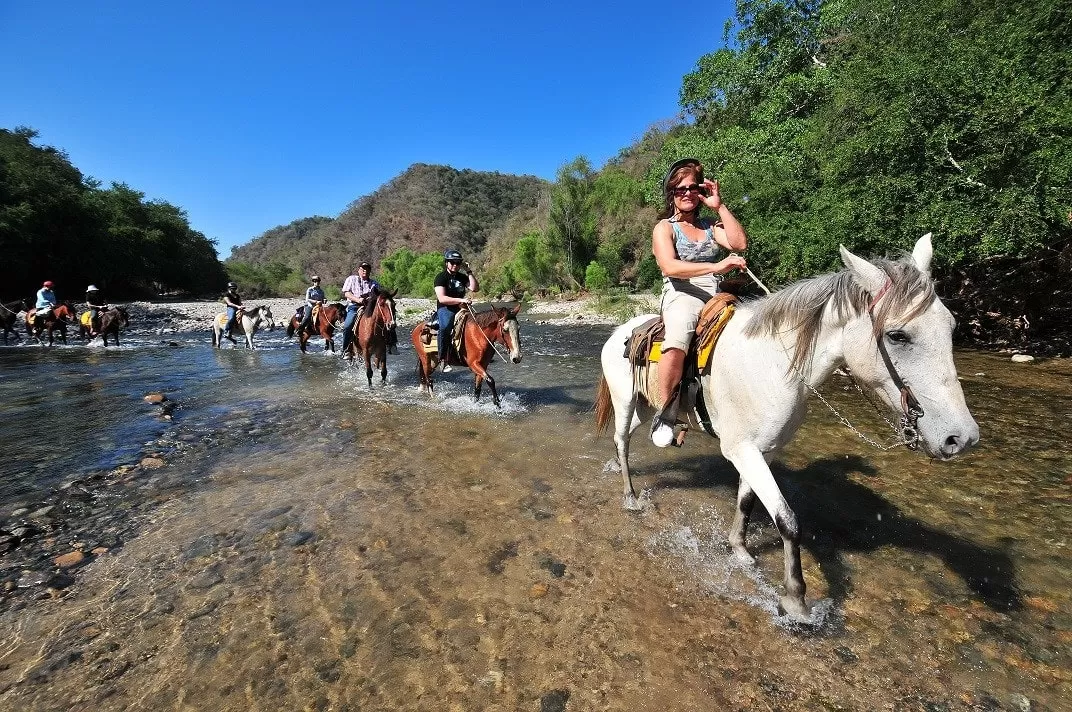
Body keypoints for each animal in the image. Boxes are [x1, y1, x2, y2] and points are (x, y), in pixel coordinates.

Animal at [596, 235, 981, 621]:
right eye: (898, 335)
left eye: (951, 327)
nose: (961, 438)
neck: (773, 365)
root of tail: (620, 331)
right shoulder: (740, 450)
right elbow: (787, 520)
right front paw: (795, 599)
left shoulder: (762, 449)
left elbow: (747, 501)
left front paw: (739, 549)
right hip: (625, 400)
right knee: (621, 440)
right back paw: (630, 497)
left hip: (646, 405)